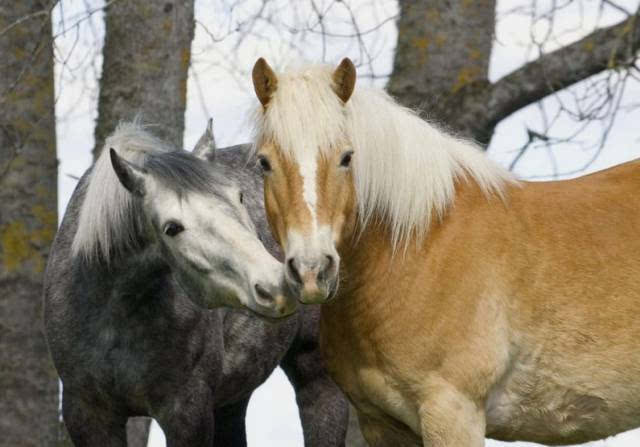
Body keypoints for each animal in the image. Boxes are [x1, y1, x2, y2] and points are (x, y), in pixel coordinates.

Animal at [44, 122, 348, 447]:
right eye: (172, 228)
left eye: (240, 197)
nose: (275, 287)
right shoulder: (87, 413)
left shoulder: (187, 411)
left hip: (315, 373)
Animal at [251, 57, 640, 446]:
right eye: (265, 163)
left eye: (346, 157)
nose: (311, 270)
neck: (419, 249)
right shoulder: (380, 424)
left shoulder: (453, 412)